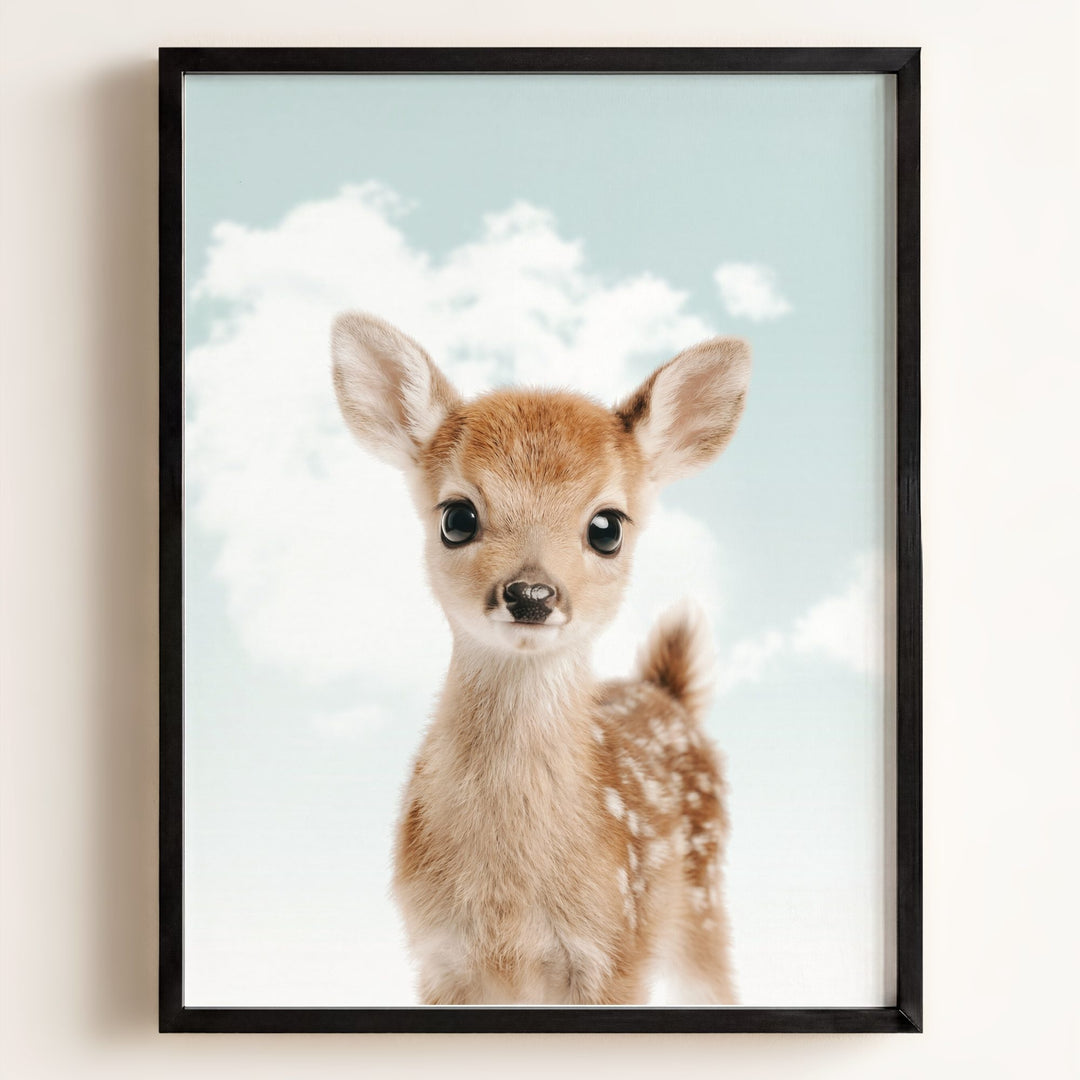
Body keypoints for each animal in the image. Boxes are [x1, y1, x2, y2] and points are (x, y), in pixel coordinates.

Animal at [331, 312, 751, 1005]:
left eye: (607, 526)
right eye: (457, 516)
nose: (531, 594)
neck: (509, 904)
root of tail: (667, 692)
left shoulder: (617, 950)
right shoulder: (438, 957)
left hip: (703, 902)